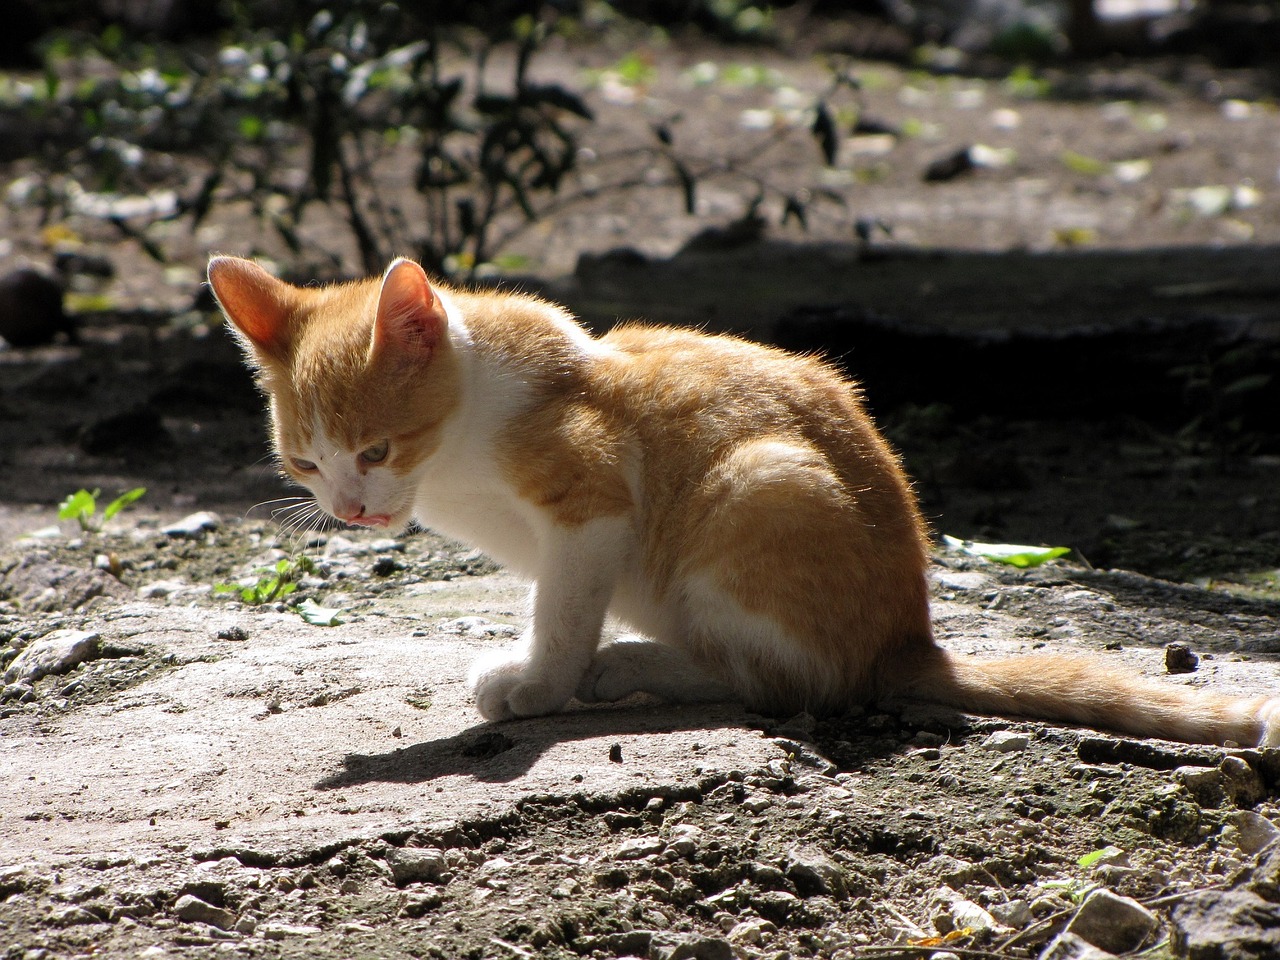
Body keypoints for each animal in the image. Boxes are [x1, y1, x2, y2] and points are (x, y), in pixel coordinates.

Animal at [207, 257, 1280, 752]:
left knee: (785, 679)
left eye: (375, 450)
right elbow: (555, 599)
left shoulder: (594, 501)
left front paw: (544, 682)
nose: (352, 510)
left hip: (762, 481)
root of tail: (909, 636)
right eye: (305, 465)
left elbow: (563, 611)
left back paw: (626, 669)